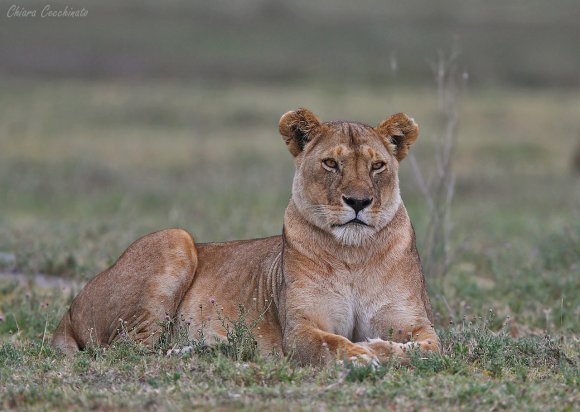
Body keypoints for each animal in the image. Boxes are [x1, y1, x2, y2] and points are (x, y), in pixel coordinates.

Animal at [53, 108, 440, 364]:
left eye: (378, 166)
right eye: (331, 163)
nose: (358, 202)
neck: (354, 253)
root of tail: (68, 312)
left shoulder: (414, 322)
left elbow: (427, 349)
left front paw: (379, 348)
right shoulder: (300, 329)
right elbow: (333, 344)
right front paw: (363, 355)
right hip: (174, 239)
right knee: (129, 349)